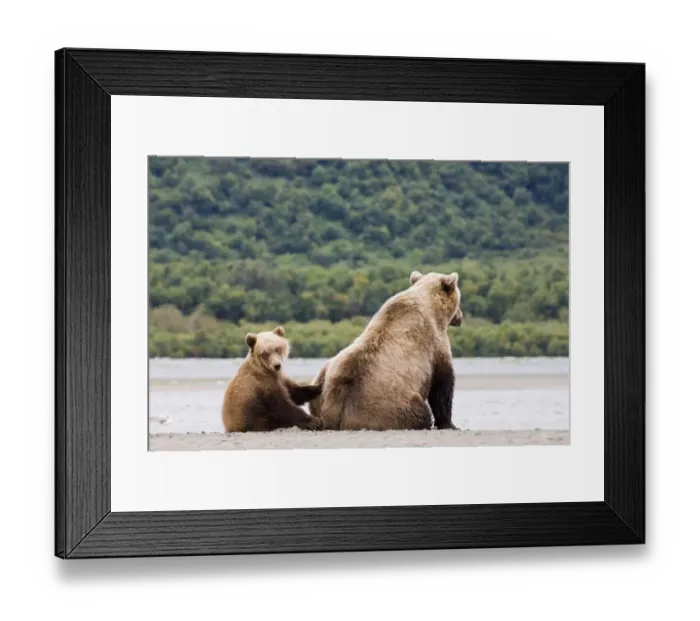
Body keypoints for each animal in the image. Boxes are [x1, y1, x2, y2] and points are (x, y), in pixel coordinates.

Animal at [308, 271, 463, 431]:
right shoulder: (434, 344)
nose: (460, 317)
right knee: (421, 413)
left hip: (321, 387)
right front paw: (449, 424)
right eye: (459, 301)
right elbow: (442, 385)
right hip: (391, 406)